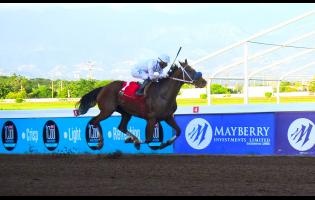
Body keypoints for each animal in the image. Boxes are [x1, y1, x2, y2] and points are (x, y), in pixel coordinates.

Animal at [75, 59, 209, 150]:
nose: (204, 82)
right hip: (107, 110)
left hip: (126, 112)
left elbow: (179, 131)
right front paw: (137, 143)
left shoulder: (168, 117)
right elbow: (149, 139)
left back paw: (131, 138)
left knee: (121, 127)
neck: (163, 94)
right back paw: (100, 143)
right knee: (94, 121)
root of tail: (103, 88)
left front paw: (164, 144)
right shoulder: (151, 119)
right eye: (190, 70)